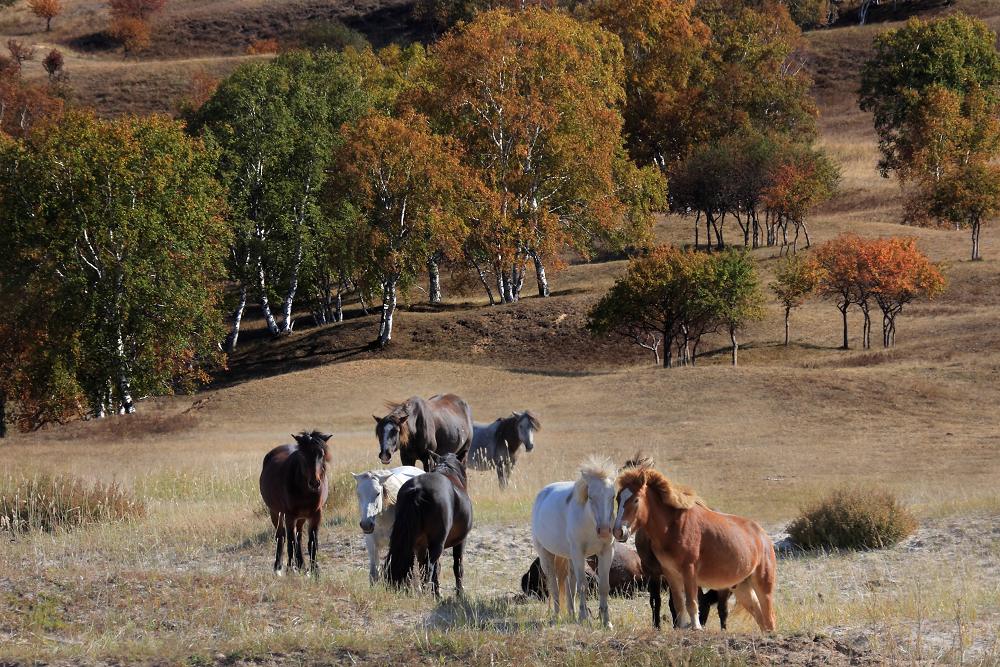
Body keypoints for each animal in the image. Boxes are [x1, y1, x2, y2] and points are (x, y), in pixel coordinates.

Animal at [258, 434, 332, 576]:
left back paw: (301, 564)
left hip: (301, 517)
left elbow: (312, 542)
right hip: (275, 513)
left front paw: (315, 570)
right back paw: (279, 567)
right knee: (281, 536)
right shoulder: (289, 516)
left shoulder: (316, 515)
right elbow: (290, 542)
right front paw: (290, 569)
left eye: (321, 454)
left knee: (299, 536)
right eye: (302, 455)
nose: (314, 483)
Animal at [386, 446, 472, 596]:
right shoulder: (460, 541)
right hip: (437, 543)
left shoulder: (421, 545)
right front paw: (459, 594)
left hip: (410, 541)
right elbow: (457, 567)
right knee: (428, 568)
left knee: (410, 565)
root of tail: (418, 489)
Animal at [532, 456, 616, 628]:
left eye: (613, 496)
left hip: (569, 557)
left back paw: (572, 614)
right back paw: (557, 616)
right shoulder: (578, 552)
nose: (605, 531)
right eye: (591, 497)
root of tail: (542, 494)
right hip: (546, 555)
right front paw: (584, 618)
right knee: (554, 584)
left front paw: (606, 622)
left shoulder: (606, 551)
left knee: (569, 583)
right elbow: (583, 584)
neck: (589, 520)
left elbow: (604, 586)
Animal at [608, 464, 780, 632]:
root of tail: (763, 536)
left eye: (636, 500)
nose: (618, 531)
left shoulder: (689, 570)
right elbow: (678, 603)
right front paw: (681, 627)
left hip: (763, 585)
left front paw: (696, 627)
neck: (672, 527)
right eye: (618, 498)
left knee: (769, 618)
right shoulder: (670, 573)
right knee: (761, 618)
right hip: (741, 588)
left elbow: (691, 601)